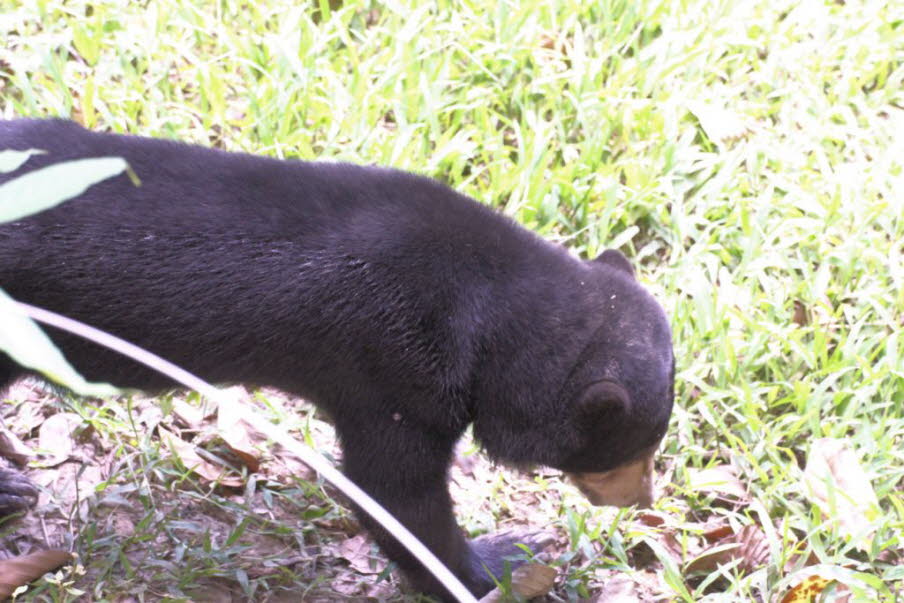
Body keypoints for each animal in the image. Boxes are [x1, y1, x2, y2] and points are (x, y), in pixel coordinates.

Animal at [0, 119, 676, 600]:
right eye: (629, 451)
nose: (641, 499)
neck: (496, 305)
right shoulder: (397, 373)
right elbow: (396, 496)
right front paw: (504, 563)